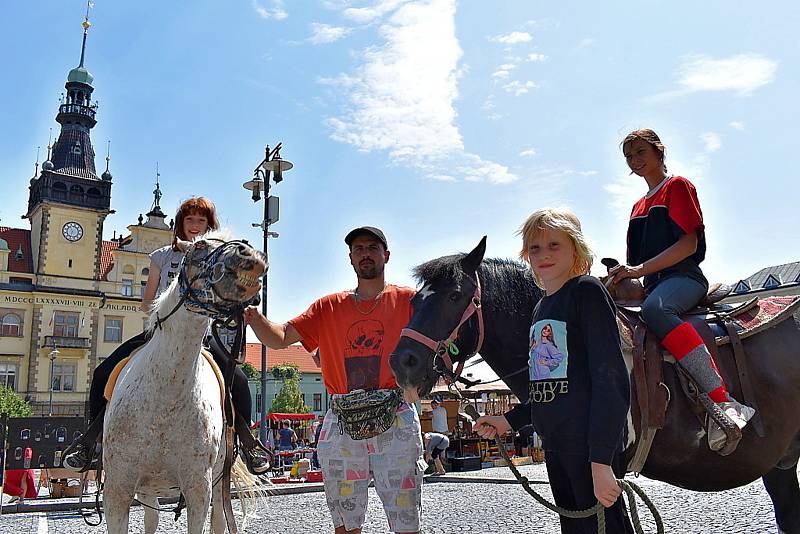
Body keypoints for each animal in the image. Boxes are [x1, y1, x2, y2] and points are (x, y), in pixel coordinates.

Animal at [101, 234, 266, 534]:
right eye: (200, 246)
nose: (251, 257)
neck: (166, 395)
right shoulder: (117, 489)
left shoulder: (199, 488)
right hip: (147, 489)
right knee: (151, 518)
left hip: (218, 482)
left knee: (219, 519)